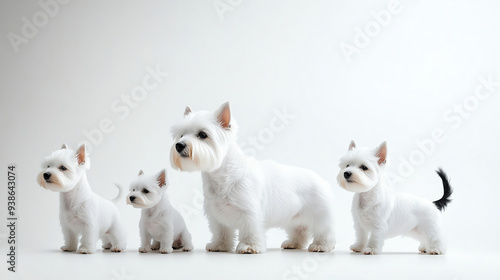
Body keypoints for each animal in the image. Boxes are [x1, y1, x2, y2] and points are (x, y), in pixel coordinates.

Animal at [171, 101, 336, 254]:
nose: (179, 145)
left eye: (202, 135)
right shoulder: (217, 215)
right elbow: (221, 232)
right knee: (300, 231)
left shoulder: (248, 212)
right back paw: (293, 243)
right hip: (294, 218)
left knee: (324, 232)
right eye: (181, 134)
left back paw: (321, 246)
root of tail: (321, 179)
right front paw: (219, 246)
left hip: (319, 214)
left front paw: (249, 247)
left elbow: (250, 231)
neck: (221, 175)